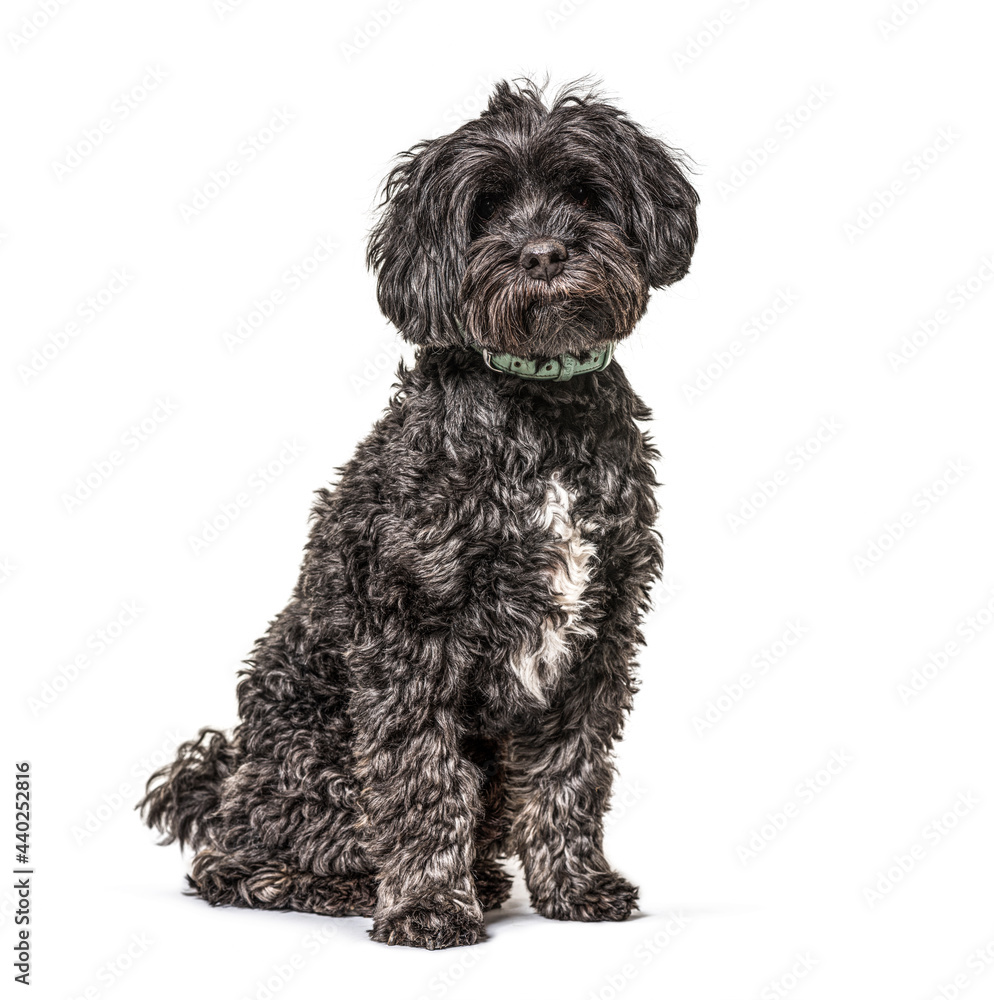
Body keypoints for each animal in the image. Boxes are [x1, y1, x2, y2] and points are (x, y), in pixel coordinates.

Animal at [140, 80, 696, 952]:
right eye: (486, 209)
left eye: (584, 191)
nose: (543, 253)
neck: (537, 407)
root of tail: (228, 780)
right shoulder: (412, 633)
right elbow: (421, 779)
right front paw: (428, 907)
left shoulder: (601, 632)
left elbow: (570, 775)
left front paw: (576, 887)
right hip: (310, 754)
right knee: (232, 865)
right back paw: (342, 887)